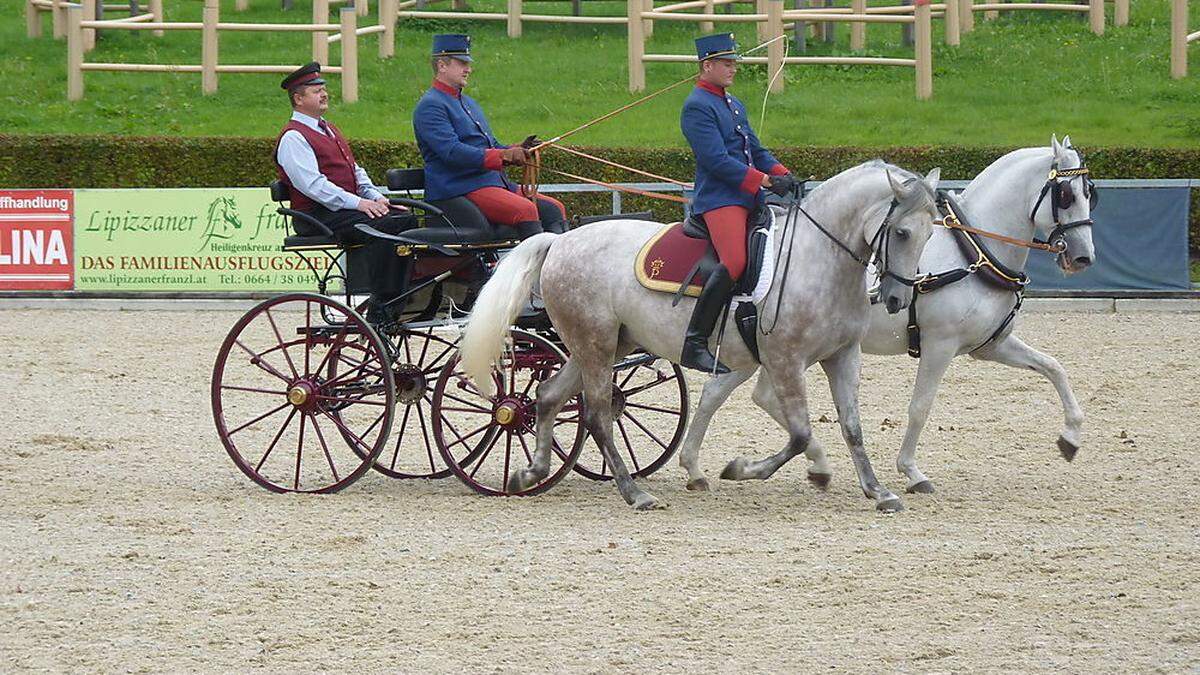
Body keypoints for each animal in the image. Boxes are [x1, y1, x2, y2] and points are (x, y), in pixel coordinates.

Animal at [460, 159, 945, 509]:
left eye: (929, 235)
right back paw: (634, 493)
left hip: (602, 344)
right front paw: (743, 469)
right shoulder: (785, 359)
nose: (897, 299)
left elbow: (852, 427)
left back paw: (531, 473)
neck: (819, 256)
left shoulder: (843, 355)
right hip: (595, 344)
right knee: (596, 414)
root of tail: (559, 241)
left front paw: (878, 491)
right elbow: (800, 433)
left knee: (547, 397)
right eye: (902, 232)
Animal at [681, 136, 1094, 494]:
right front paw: (911, 471)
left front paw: (1071, 437)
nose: (1083, 257)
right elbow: (920, 407)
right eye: (1066, 194)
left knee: (730, 393)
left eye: (1091, 193)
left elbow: (1054, 367)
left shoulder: (991, 346)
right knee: (746, 395)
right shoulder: (940, 344)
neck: (972, 252)